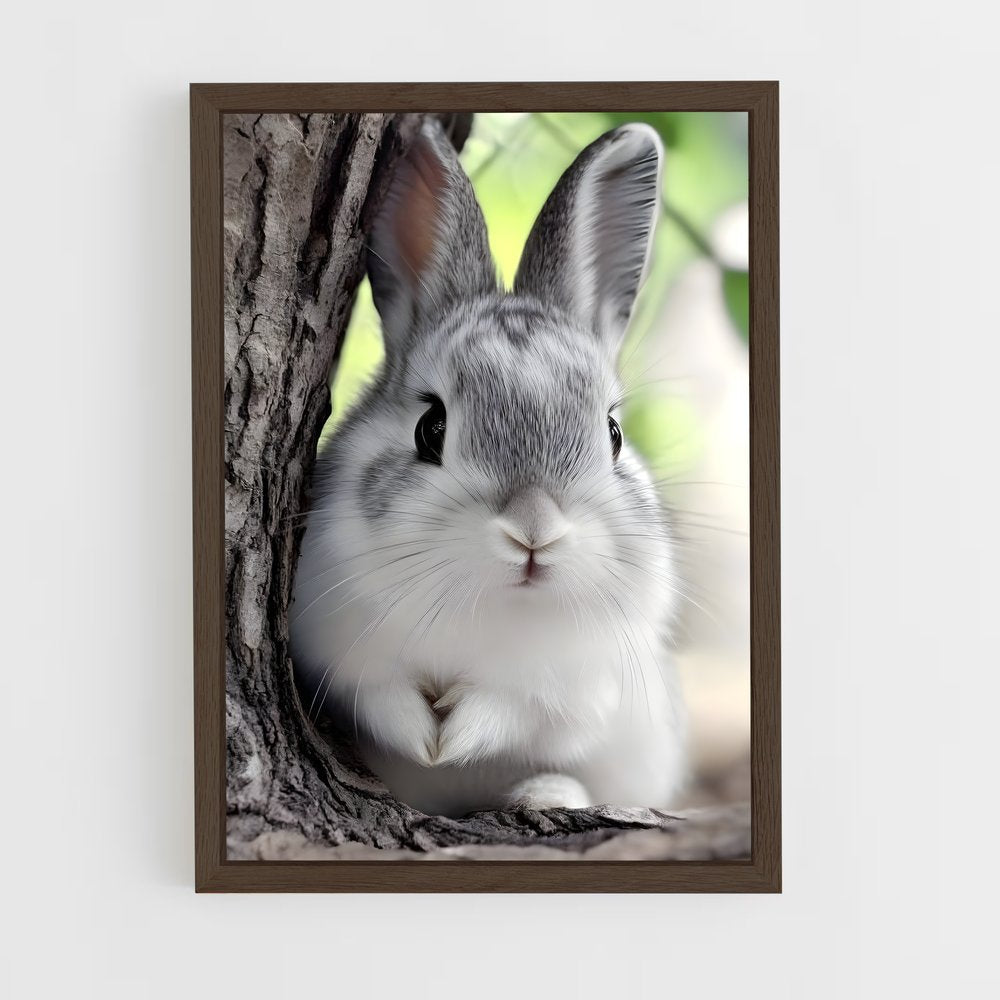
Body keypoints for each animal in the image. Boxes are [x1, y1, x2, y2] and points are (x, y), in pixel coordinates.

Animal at [289, 118, 686, 818]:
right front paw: (425, 738)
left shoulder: (579, 688)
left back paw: (547, 792)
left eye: (612, 435)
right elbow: (377, 695)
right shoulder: (331, 651)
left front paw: (455, 735)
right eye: (431, 428)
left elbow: (515, 710)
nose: (534, 531)